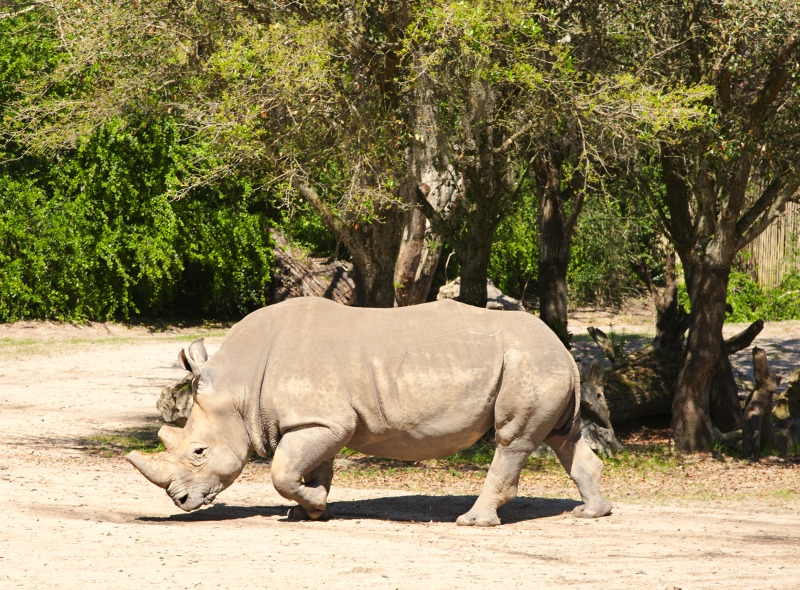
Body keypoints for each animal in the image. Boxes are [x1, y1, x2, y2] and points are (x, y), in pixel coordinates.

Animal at [126, 300, 612, 528]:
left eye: (199, 452)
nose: (180, 500)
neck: (239, 386)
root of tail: (562, 347)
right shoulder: (320, 422)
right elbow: (311, 468)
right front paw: (311, 510)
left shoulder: (321, 420)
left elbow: (282, 472)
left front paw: (312, 505)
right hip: (541, 364)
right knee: (564, 439)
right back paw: (590, 514)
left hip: (529, 362)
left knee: (514, 441)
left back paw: (473, 522)